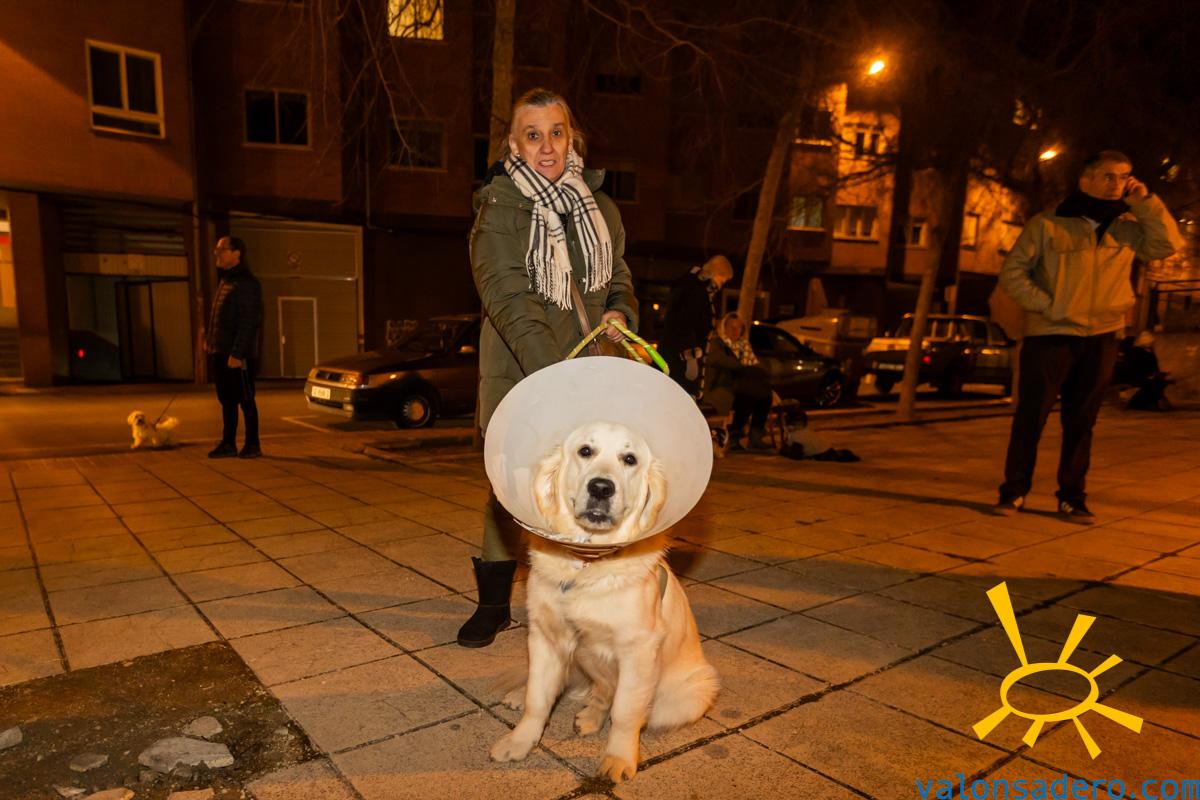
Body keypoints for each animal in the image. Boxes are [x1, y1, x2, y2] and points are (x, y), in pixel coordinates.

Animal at [490, 420, 719, 783]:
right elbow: (537, 698)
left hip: (689, 694)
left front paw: (618, 757)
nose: (601, 488)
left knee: (619, 698)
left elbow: (625, 712)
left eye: (630, 459)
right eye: (586, 451)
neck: (586, 566)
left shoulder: (638, 651)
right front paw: (519, 741)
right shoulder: (545, 637)